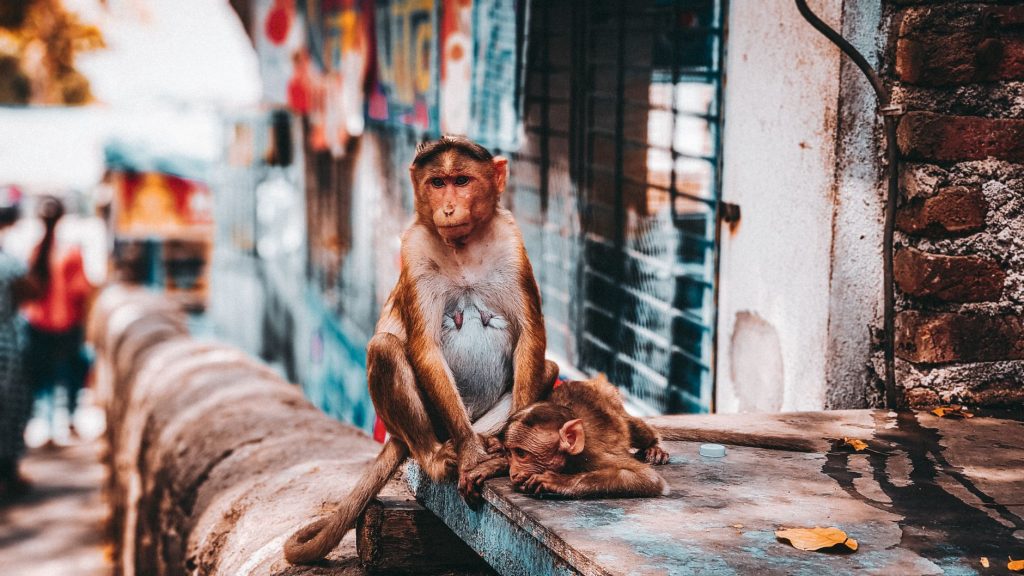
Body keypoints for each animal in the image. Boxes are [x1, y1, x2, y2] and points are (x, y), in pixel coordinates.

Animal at [284, 135, 555, 564]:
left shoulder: (511, 240)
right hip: (425, 425)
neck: (464, 246)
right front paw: (472, 455)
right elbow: (423, 347)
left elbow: (530, 337)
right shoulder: (413, 246)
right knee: (385, 348)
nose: (448, 207)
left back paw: (493, 441)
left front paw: (507, 456)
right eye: (437, 182)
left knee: (549, 369)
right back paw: (440, 453)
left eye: (462, 180)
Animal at [503, 375, 672, 498]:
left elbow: (648, 478)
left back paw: (654, 446)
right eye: (509, 454)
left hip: (613, 400)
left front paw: (558, 482)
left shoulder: (591, 455)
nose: (512, 473)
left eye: (521, 453)